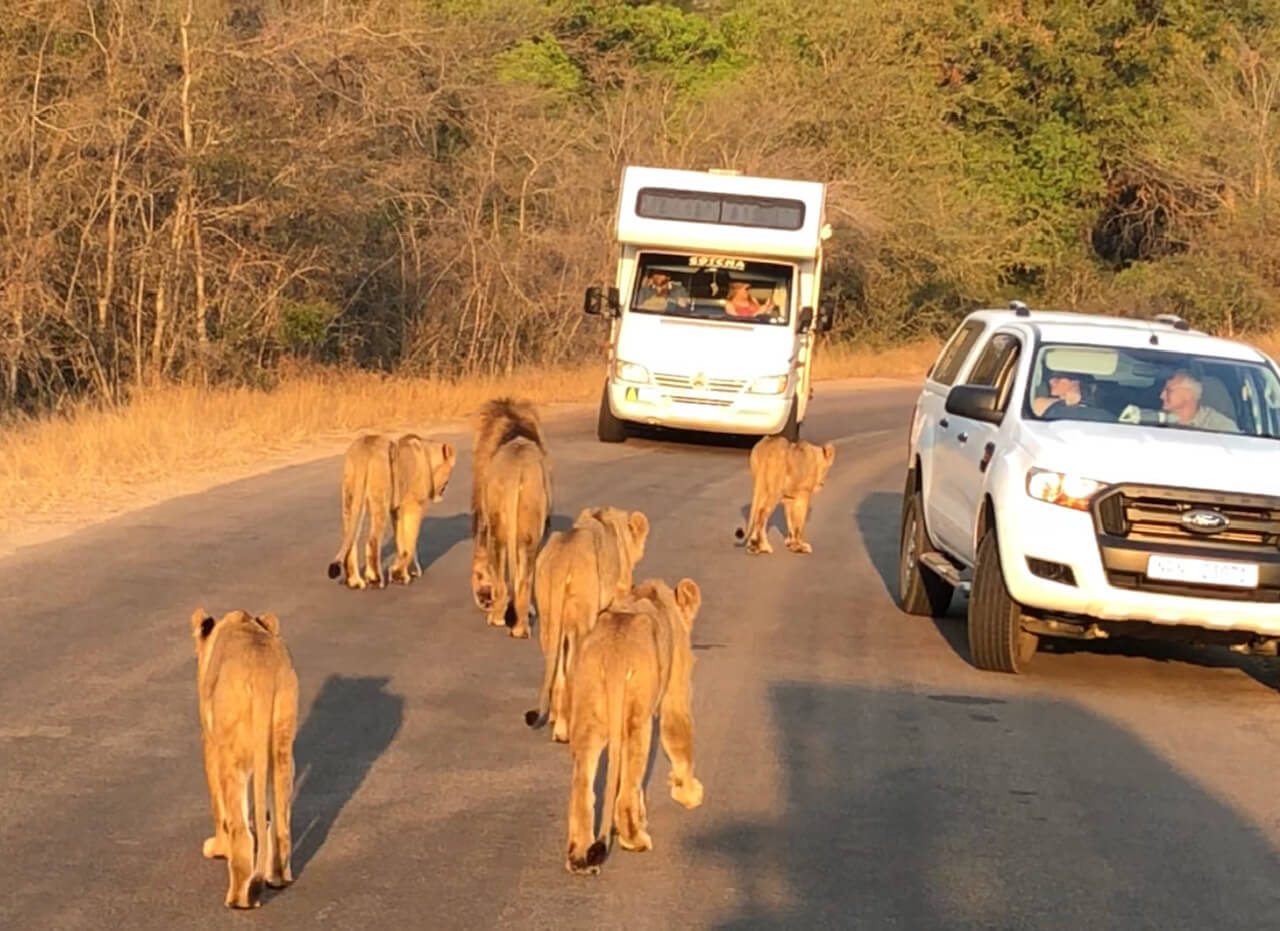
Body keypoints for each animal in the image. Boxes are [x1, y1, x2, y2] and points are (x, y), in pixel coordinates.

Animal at [188, 607, 298, 906]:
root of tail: (262, 671)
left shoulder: (210, 743)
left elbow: (218, 808)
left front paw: (216, 848)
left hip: (231, 756)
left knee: (240, 830)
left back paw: (239, 898)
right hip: (282, 748)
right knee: (280, 823)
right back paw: (278, 878)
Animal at [327, 430, 458, 589]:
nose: (446, 487)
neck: (427, 455)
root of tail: (364, 447)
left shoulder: (396, 510)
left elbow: (402, 542)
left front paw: (406, 573)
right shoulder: (413, 505)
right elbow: (411, 541)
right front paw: (399, 574)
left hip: (350, 497)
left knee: (350, 541)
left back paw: (355, 581)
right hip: (380, 499)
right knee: (372, 541)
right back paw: (375, 579)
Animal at [527, 507, 650, 737]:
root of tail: (561, 562)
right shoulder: (617, 597)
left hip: (548, 617)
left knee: (554, 661)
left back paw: (556, 718)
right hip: (582, 619)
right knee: (571, 668)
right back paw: (565, 729)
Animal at [563, 576, 706, 875]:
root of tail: (614, 653)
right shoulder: (675, 689)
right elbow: (678, 735)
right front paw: (689, 794)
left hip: (587, 716)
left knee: (582, 789)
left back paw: (580, 859)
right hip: (637, 720)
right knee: (627, 789)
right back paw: (634, 839)